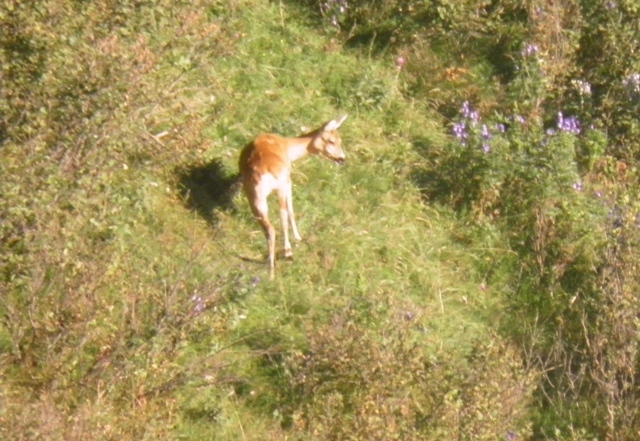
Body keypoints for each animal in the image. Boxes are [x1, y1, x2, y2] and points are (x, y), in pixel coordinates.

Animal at [240, 113, 350, 278]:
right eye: (331, 140)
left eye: (340, 140)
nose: (342, 159)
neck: (287, 147)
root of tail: (261, 171)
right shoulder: (288, 181)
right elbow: (291, 210)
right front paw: (298, 237)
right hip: (280, 186)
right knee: (282, 216)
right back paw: (287, 252)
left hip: (254, 196)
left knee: (269, 229)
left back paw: (270, 272)